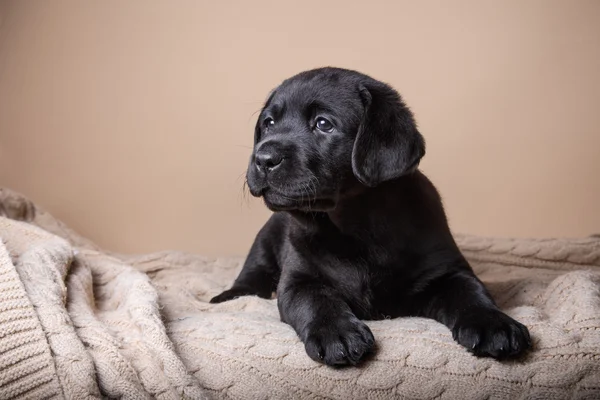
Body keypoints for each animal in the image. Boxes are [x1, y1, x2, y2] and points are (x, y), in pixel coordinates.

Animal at [210, 66, 528, 366]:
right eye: (269, 123)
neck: (355, 226)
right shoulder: (298, 279)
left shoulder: (446, 271)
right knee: (252, 273)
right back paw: (229, 296)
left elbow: (472, 292)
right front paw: (336, 332)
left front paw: (494, 324)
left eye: (323, 124)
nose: (263, 159)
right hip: (263, 242)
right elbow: (315, 300)